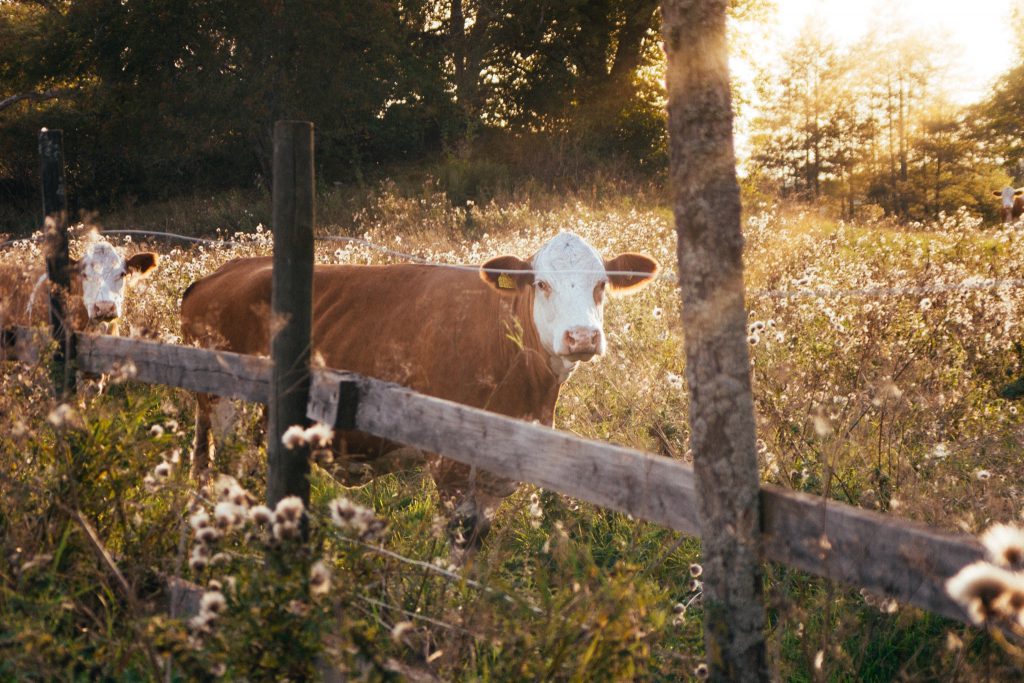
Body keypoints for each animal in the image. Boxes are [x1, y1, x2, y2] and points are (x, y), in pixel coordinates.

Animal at [180, 235, 659, 548]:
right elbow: (459, 540)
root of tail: (222, 272)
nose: (582, 337)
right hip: (228, 412)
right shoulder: (450, 465)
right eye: (542, 284)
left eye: (601, 284)